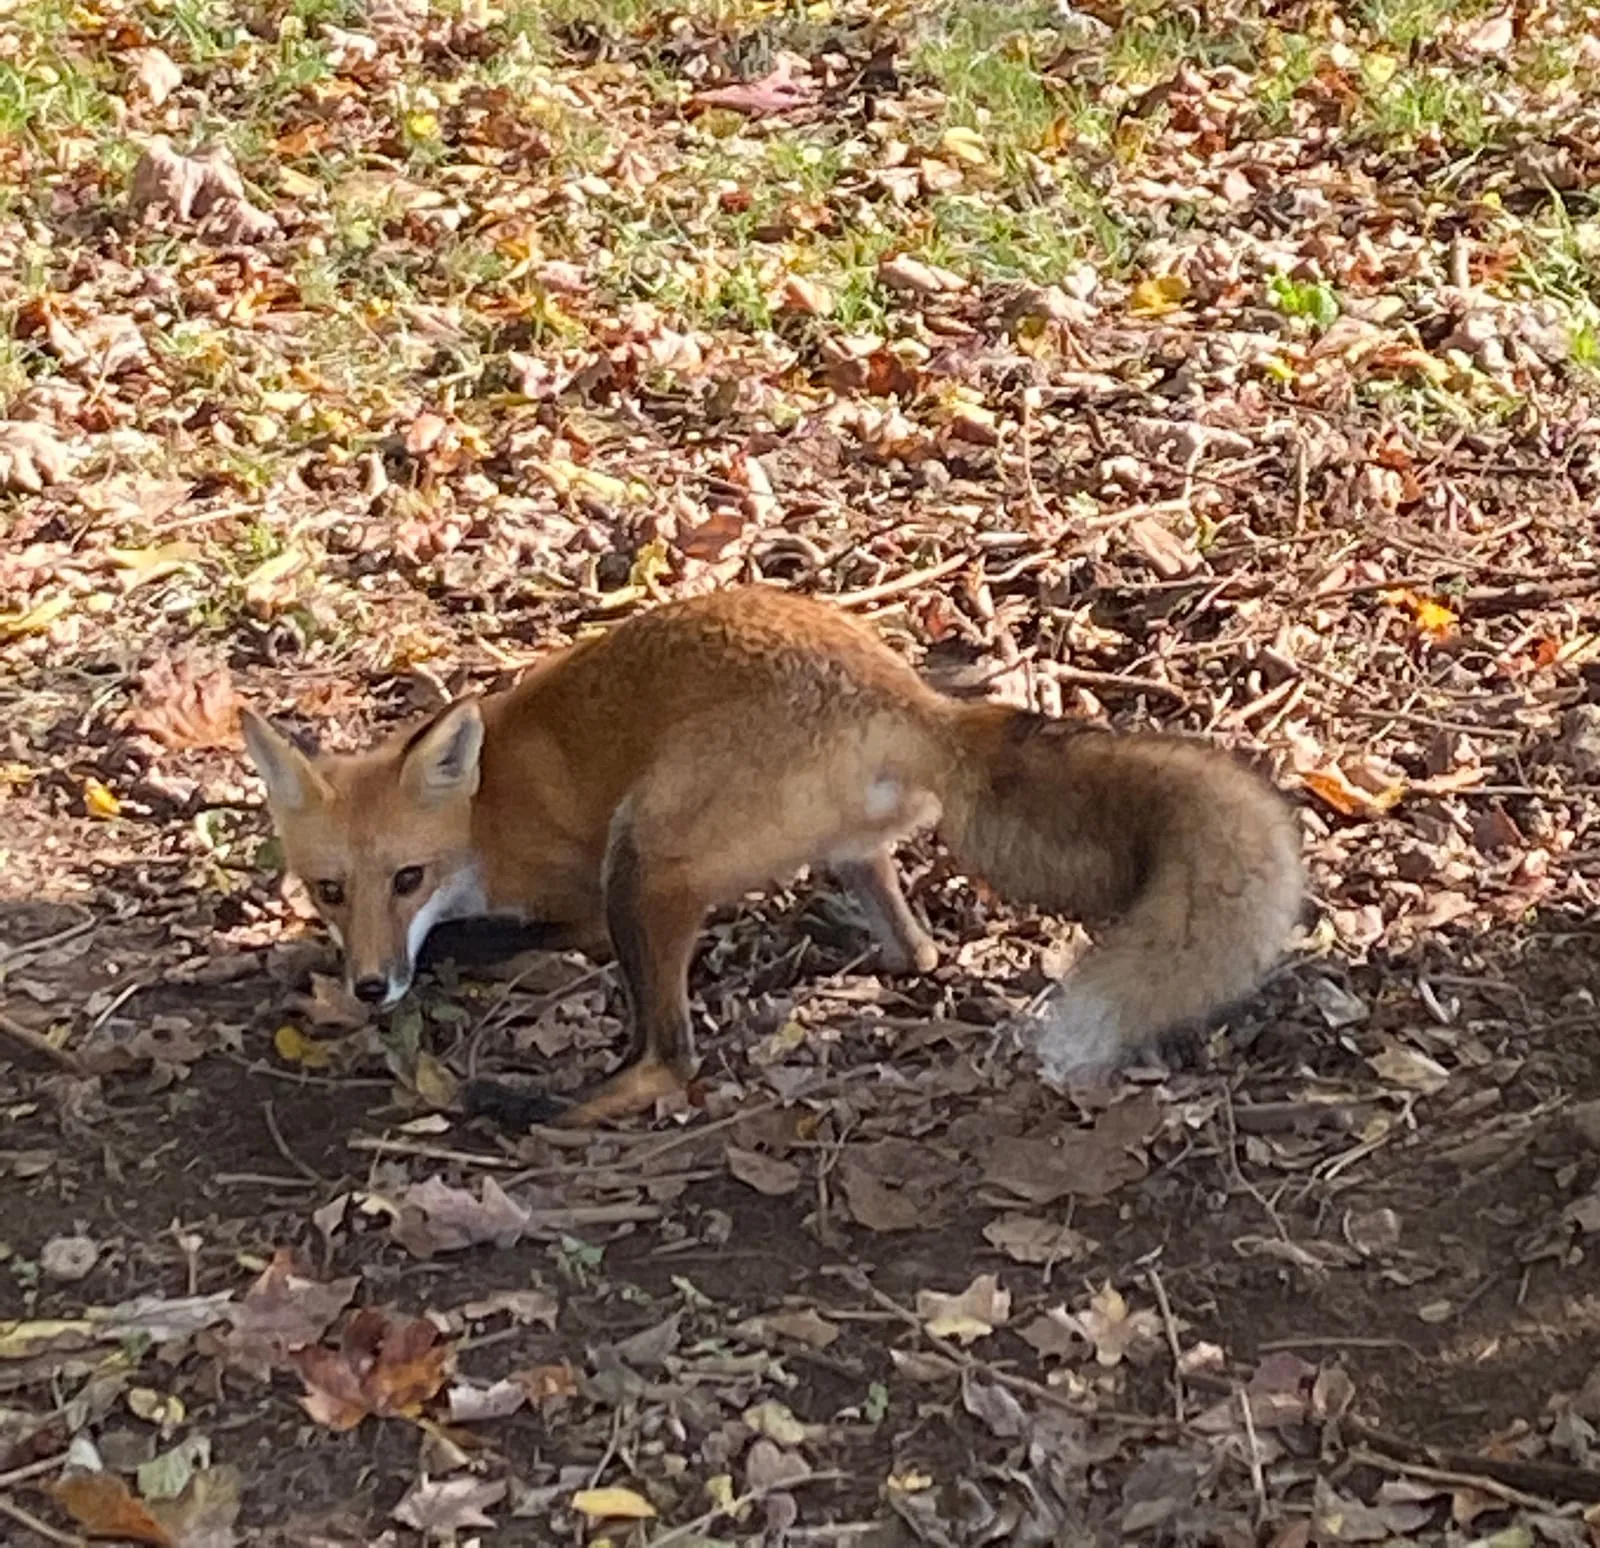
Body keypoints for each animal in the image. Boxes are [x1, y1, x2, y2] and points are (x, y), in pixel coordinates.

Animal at [240, 585, 1303, 1125]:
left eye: (406, 878)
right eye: (328, 888)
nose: (371, 985)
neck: (484, 809)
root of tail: (912, 699)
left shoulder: (577, 902)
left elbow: (479, 940)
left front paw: (421, 972)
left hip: (643, 862)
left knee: (669, 1063)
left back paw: (532, 1106)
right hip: (819, 857)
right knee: (914, 949)